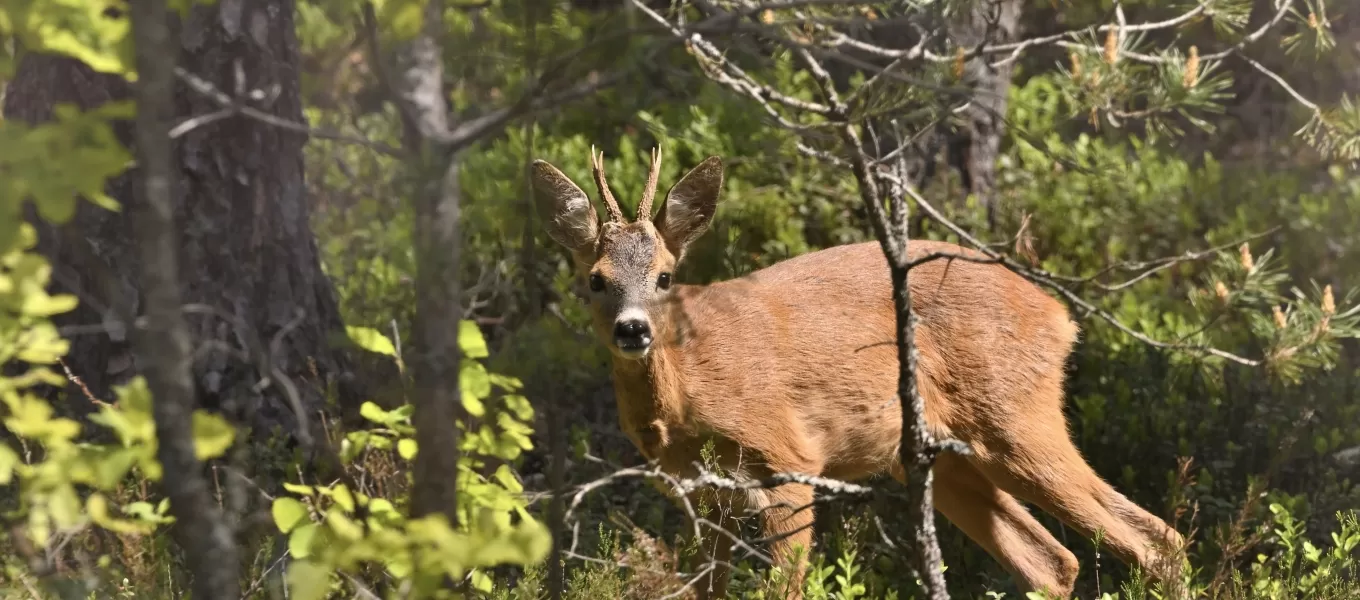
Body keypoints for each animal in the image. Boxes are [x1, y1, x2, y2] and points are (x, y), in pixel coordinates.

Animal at [524, 147, 1185, 595]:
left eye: (664, 276)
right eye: (595, 280)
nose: (633, 330)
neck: (686, 395)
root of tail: (1058, 314)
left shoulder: (787, 461)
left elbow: (785, 587)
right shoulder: (701, 493)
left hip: (1016, 418)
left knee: (1156, 540)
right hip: (937, 455)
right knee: (1056, 560)